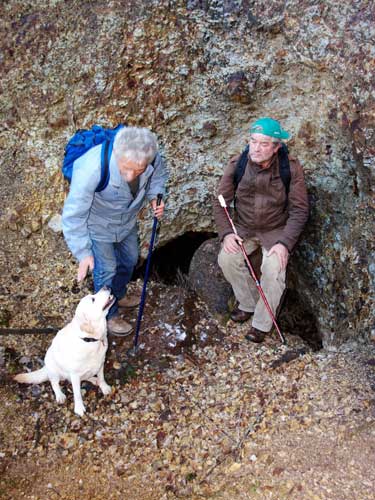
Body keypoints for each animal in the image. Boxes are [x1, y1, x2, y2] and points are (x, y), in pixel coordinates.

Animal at [13, 288, 115, 416]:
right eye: (93, 299)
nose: (107, 286)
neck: (89, 340)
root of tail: (45, 367)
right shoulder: (75, 375)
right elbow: (77, 394)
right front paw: (79, 408)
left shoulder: (101, 363)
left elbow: (101, 377)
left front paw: (104, 387)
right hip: (54, 370)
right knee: (54, 383)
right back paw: (60, 395)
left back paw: (93, 379)